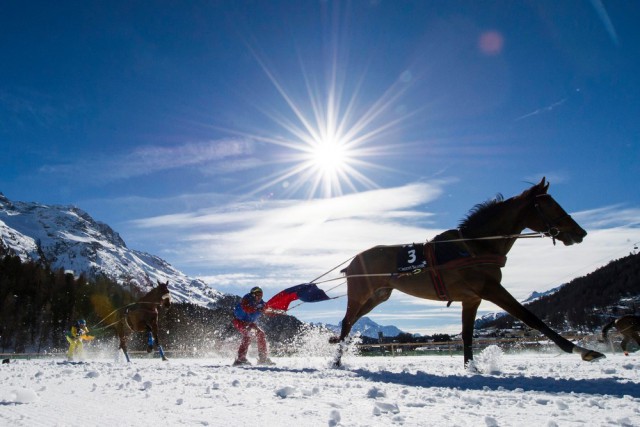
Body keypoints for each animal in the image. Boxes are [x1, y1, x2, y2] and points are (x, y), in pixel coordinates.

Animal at [330, 177, 604, 368]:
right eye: (549, 205)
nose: (580, 232)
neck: (474, 245)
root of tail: (353, 262)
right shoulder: (490, 289)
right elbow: (530, 317)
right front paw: (583, 351)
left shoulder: (472, 298)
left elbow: (467, 334)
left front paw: (471, 367)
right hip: (360, 294)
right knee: (346, 322)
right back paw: (336, 359)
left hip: (378, 296)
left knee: (351, 322)